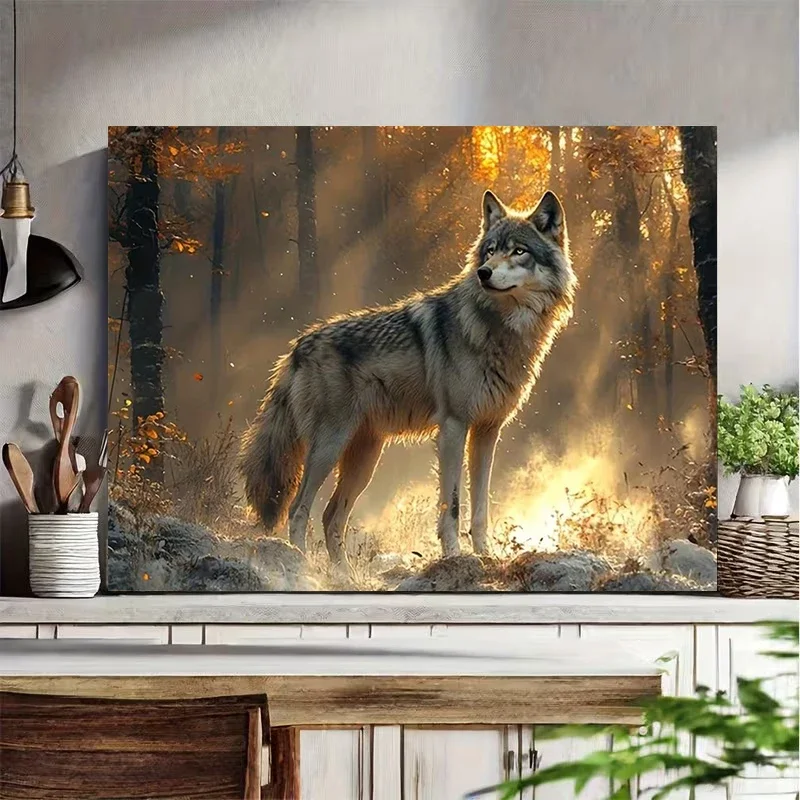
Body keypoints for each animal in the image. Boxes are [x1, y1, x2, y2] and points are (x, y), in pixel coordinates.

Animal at [240, 189, 577, 564]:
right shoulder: (453, 428)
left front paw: (486, 556)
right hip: (329, 446)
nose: (483, 273)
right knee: (299, 509)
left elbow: (481, 508)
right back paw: (303, 566)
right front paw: (454, 556)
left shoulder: (488, 431)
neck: (499, 329)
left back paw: (341, 573)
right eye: (490, 250)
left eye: (519, 251)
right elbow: (452, 506)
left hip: (365, 458)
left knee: (331, 516)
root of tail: (298, 345)